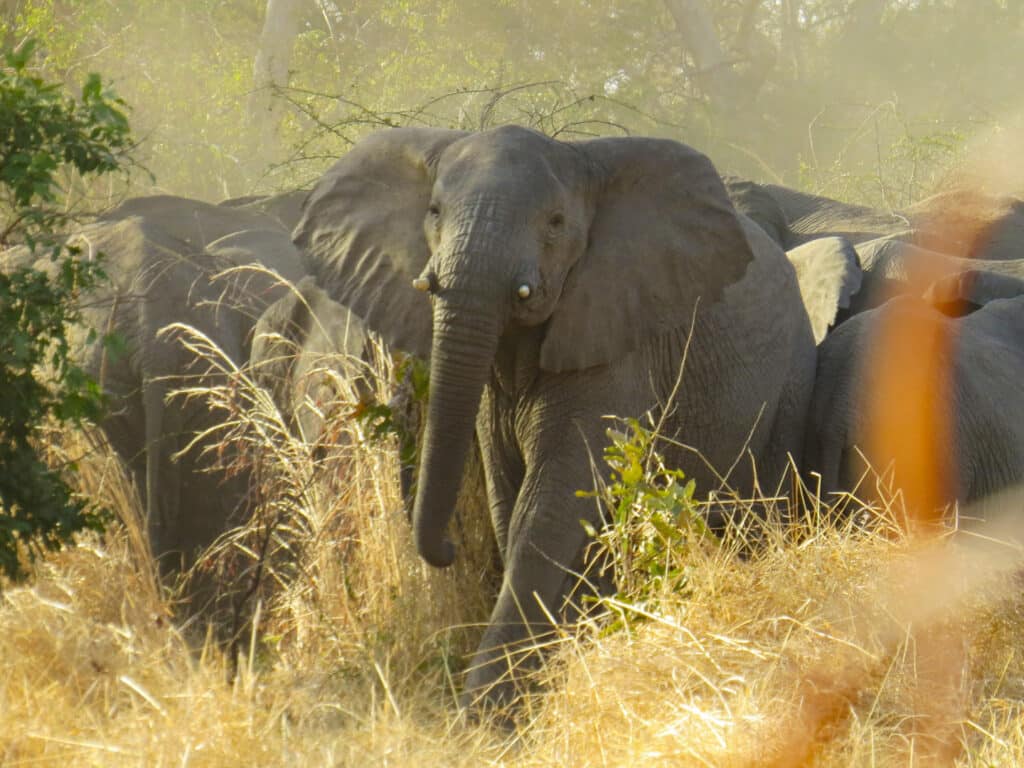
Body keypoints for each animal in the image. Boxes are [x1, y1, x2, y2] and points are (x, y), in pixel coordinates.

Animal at [294, 125, 826, 711]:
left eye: (555, 223)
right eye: (433, 212)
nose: (448, 550)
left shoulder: (614, 340)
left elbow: (549, 504)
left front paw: (486, 714)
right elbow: (508, 499)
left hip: (792, 382)